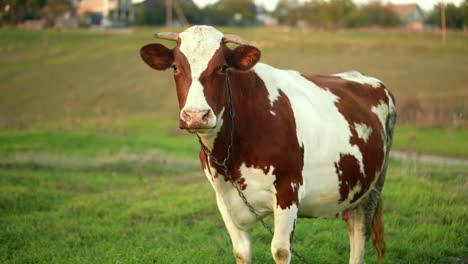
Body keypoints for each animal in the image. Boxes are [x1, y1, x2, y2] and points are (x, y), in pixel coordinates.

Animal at [139, 25, 394, 264]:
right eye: (175, 67)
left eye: (222, 68)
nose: (195, 115)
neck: (231, 156)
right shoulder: (224, 198)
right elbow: (241, 252)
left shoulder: (288, 190)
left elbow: (280, 251)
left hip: (374, 186)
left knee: (360, 233)